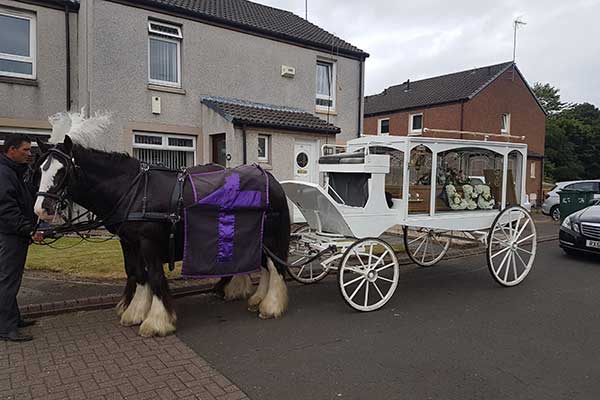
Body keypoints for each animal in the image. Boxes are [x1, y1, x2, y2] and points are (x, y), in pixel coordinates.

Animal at [32, 114, 290, 336]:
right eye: (40, 169)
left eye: (62, 171)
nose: (41, 208)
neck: (133, 190)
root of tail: (271, 180)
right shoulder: (129, 242)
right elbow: (136, 272)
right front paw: (135, 311)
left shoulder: (148, 241)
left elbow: (154, 276)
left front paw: (156, 321)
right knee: (264, 264)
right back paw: (256, 298)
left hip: (267, 235)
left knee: (274, 265)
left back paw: (271, 305)